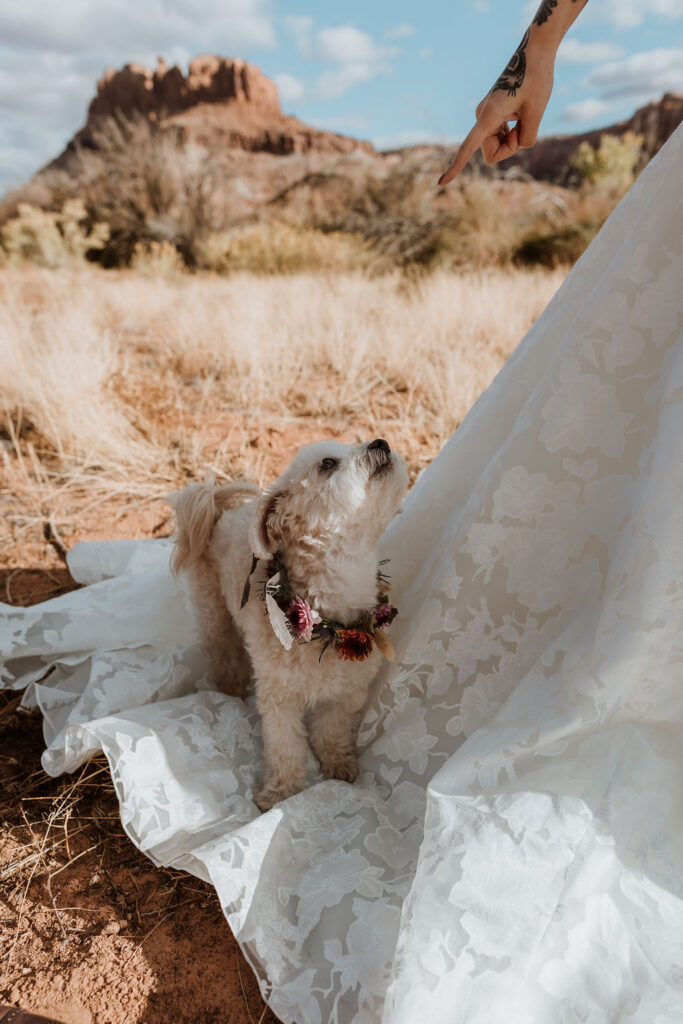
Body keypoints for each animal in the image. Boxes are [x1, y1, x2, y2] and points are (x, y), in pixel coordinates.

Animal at [169, 436, 409, 811]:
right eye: (327, 463)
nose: (380, 441)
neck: (328, 622)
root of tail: (218, 507)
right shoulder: (279, 699)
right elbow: (285, 747)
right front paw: (280, 793)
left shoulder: (348, 691)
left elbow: (332, 729)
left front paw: (338, 763)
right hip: (213, 609)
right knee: (221, 648)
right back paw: (230, 684)